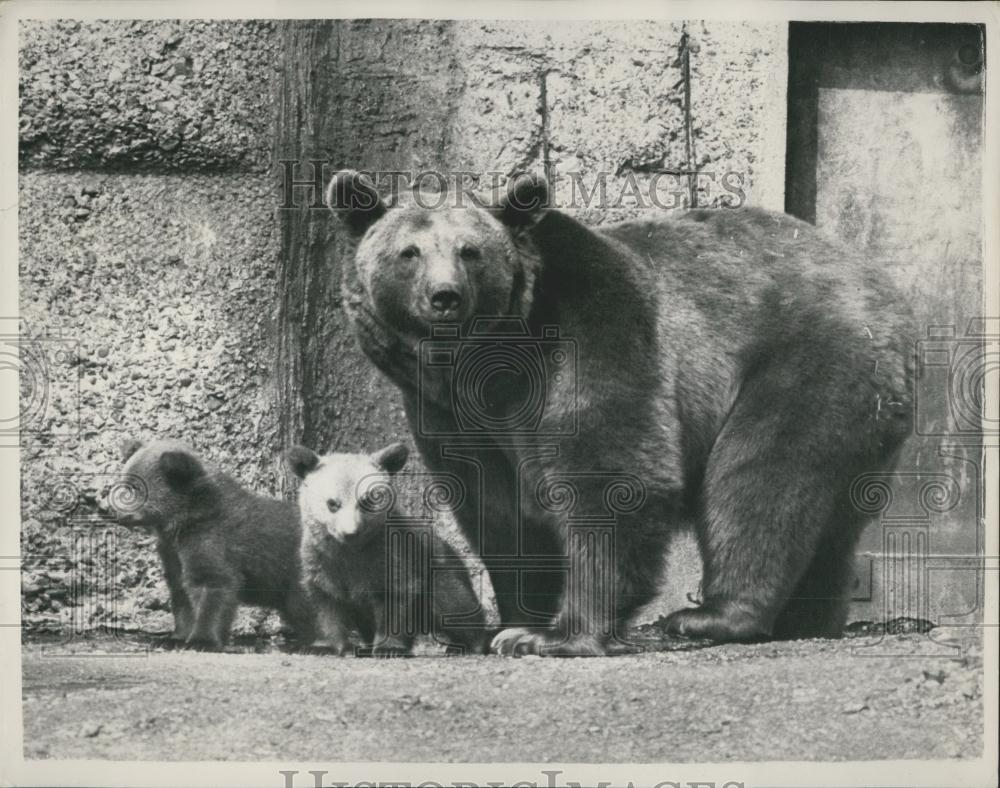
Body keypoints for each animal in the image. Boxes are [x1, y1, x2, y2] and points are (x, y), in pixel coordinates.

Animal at [121, 438, 316, 652]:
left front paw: (202, 641)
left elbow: (214, 583)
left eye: (135, 488)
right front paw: (174, 638)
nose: (110, 510)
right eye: (123, 483)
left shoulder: (211, 540)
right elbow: (181, 591)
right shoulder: (172, 551)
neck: (185, 520)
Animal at [286, 440, 488, 656]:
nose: (350, 532)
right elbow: (323, 602)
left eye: (367, 500)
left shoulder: (391, 556)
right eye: (332, 503)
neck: (350, 552)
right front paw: (322, 646)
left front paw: (389, 647)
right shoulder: (321, 561)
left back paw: (468, 644)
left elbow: (396, 598)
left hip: (439, 573)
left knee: (455, 605)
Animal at [328, 169, 916, 656]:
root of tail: (886, 293)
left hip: (806, 363)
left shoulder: (593, 332)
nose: (445, 296)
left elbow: (612, 474)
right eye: (408, 252)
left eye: (471, 251)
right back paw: (807, 617)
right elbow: (494, 507)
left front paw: (556, 634)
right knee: (831, 518)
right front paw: (515, 621)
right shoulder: (447, 412)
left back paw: (712, 616)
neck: (489, 367)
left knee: (758, 480)